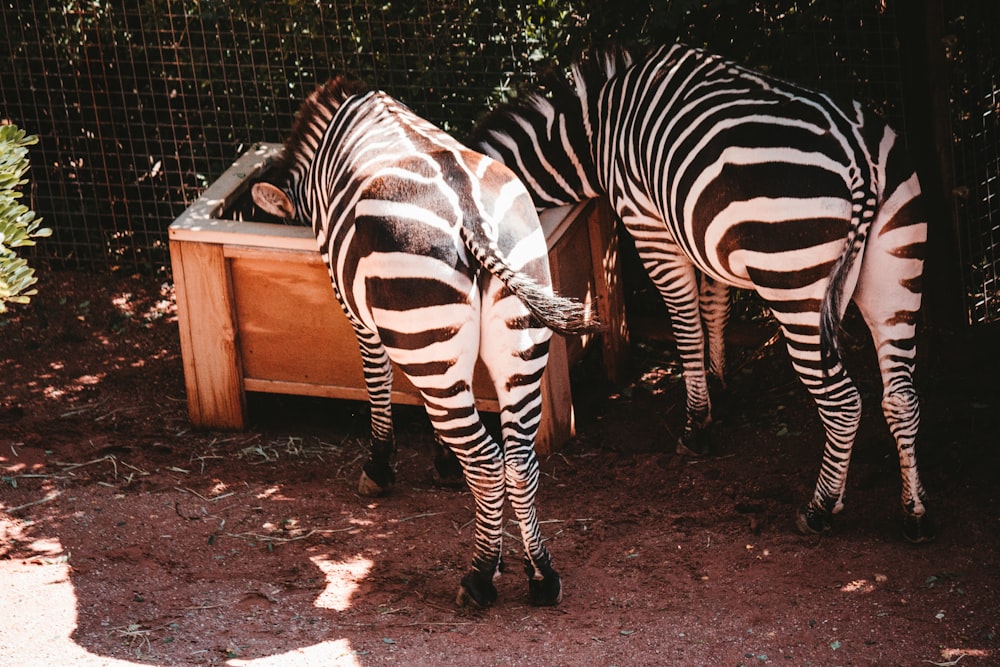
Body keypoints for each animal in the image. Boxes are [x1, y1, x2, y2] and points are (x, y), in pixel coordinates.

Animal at [250, 77, 600, 604]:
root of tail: (472, 217)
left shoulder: (361, 315)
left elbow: (377, 383)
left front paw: (379, 467)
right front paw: (443, 461)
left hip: (424, 322)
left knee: (487, 462)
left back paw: (478, 578)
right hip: (515, 337)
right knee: (518, 460)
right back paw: (540, 575)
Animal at [472, 43, 932, 544]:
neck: (594, 134)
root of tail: (858, 154)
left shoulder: (650, 226)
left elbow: (686, 325)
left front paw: (696, 425)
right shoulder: (707, 235)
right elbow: (715, 308)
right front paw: (719, 385)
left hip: (795, 282)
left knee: (844, 403)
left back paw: (820, 509)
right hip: (895, 270)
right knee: (902, 396)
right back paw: (914, 514)